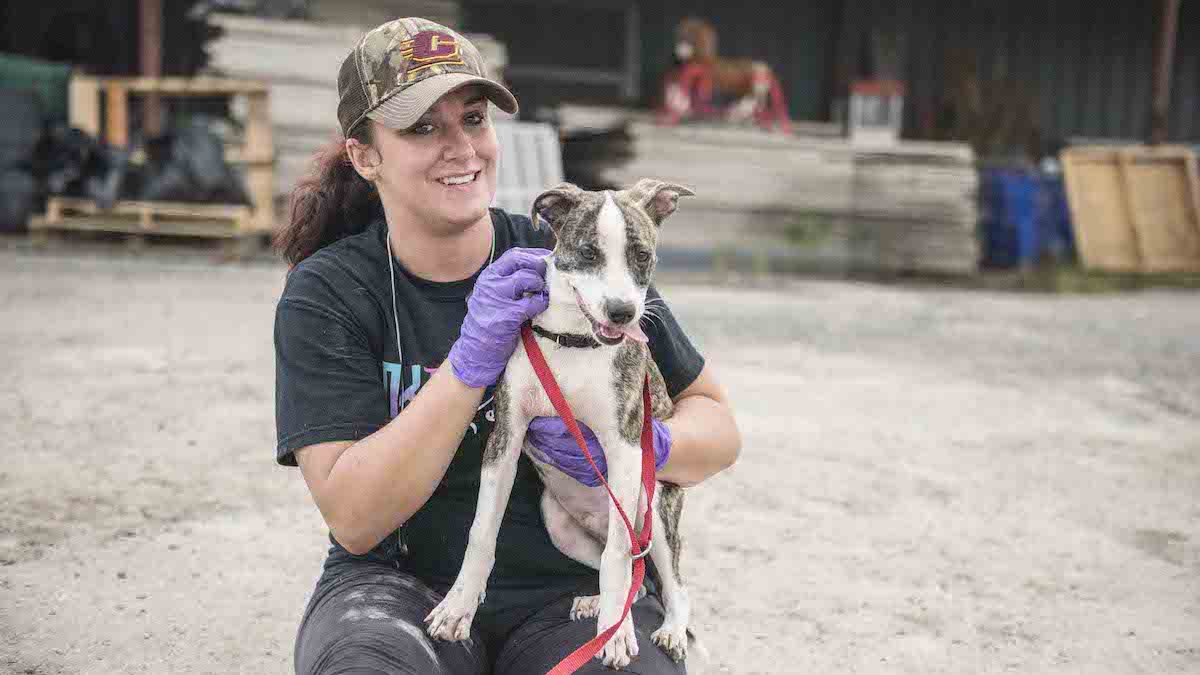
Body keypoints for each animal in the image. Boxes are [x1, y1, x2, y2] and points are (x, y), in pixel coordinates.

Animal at [427, 178, 700, 667]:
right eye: (589, 252)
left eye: (642, 255)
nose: (622, 313)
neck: (575, 341)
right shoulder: (507, 435)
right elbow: (482, 532)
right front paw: (458, 607)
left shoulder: (624, 447)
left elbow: (616, 556)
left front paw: (615, 635)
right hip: (558, 523)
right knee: (633, 574)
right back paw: (599, 603)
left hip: (654, 505)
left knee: (663, 577)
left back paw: (665, 628)